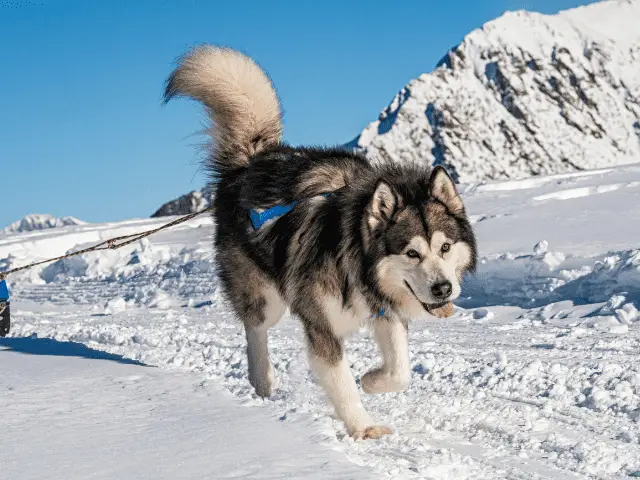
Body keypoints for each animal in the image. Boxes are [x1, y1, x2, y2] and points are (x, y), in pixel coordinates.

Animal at [164, 45, 476, 438]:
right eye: (411, 253)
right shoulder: (321, 324)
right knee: (255, 330)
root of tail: (250, 162)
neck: (355, 257)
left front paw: (372, 380)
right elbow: (341, 381)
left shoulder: (383, 308)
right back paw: (262, 383)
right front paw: (362, 428)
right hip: (267, 298)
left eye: (445, 248)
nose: (443, 289)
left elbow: (400, 371)